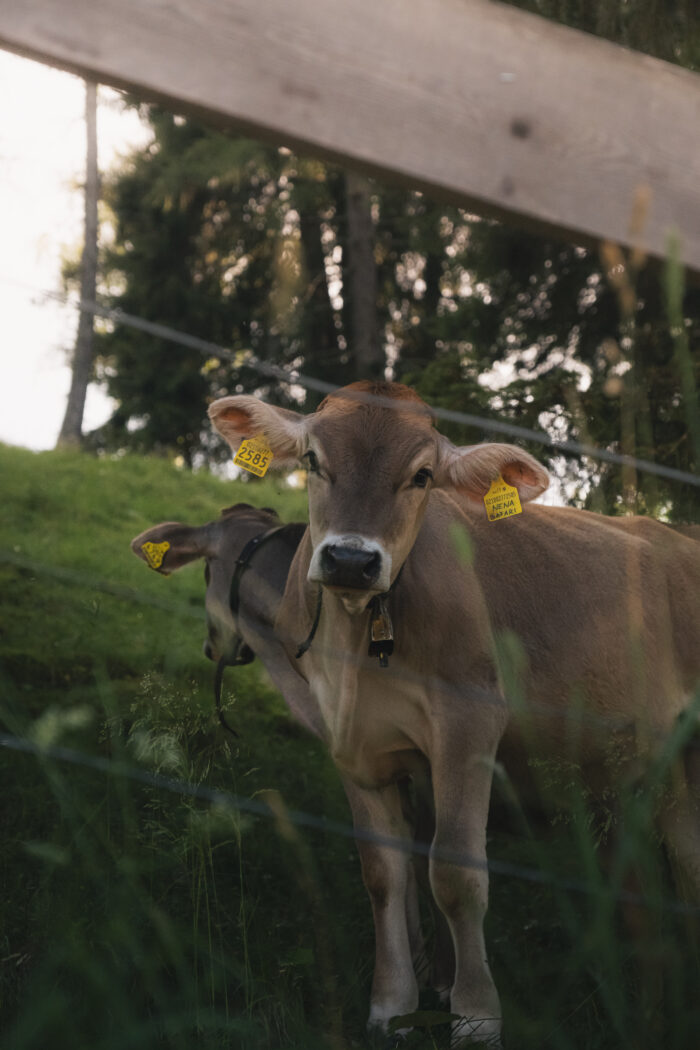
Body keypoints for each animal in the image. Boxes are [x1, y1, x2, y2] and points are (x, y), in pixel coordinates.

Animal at [208, 379, 700, 1047]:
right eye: (312, 460)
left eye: (421, 476)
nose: (351, 560)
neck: (360, 647)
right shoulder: (353, 745)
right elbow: (384, 874)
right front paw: (391, 1007)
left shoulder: (469, 724)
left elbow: (456, 873)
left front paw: (475, 1017)